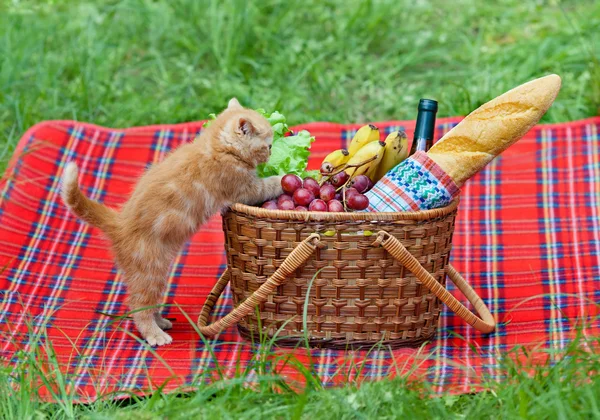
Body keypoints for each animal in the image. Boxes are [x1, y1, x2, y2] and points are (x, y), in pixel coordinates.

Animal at [61, 98, 284, 344]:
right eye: (268, 146)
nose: (270, 155)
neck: (216, 146)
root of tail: (119, 223)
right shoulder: (244, 189)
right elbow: (267, 185)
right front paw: (285, 178)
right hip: (151, 270)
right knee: (139, 306)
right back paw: (154, 334)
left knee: (148, 303)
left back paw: (161, 322)